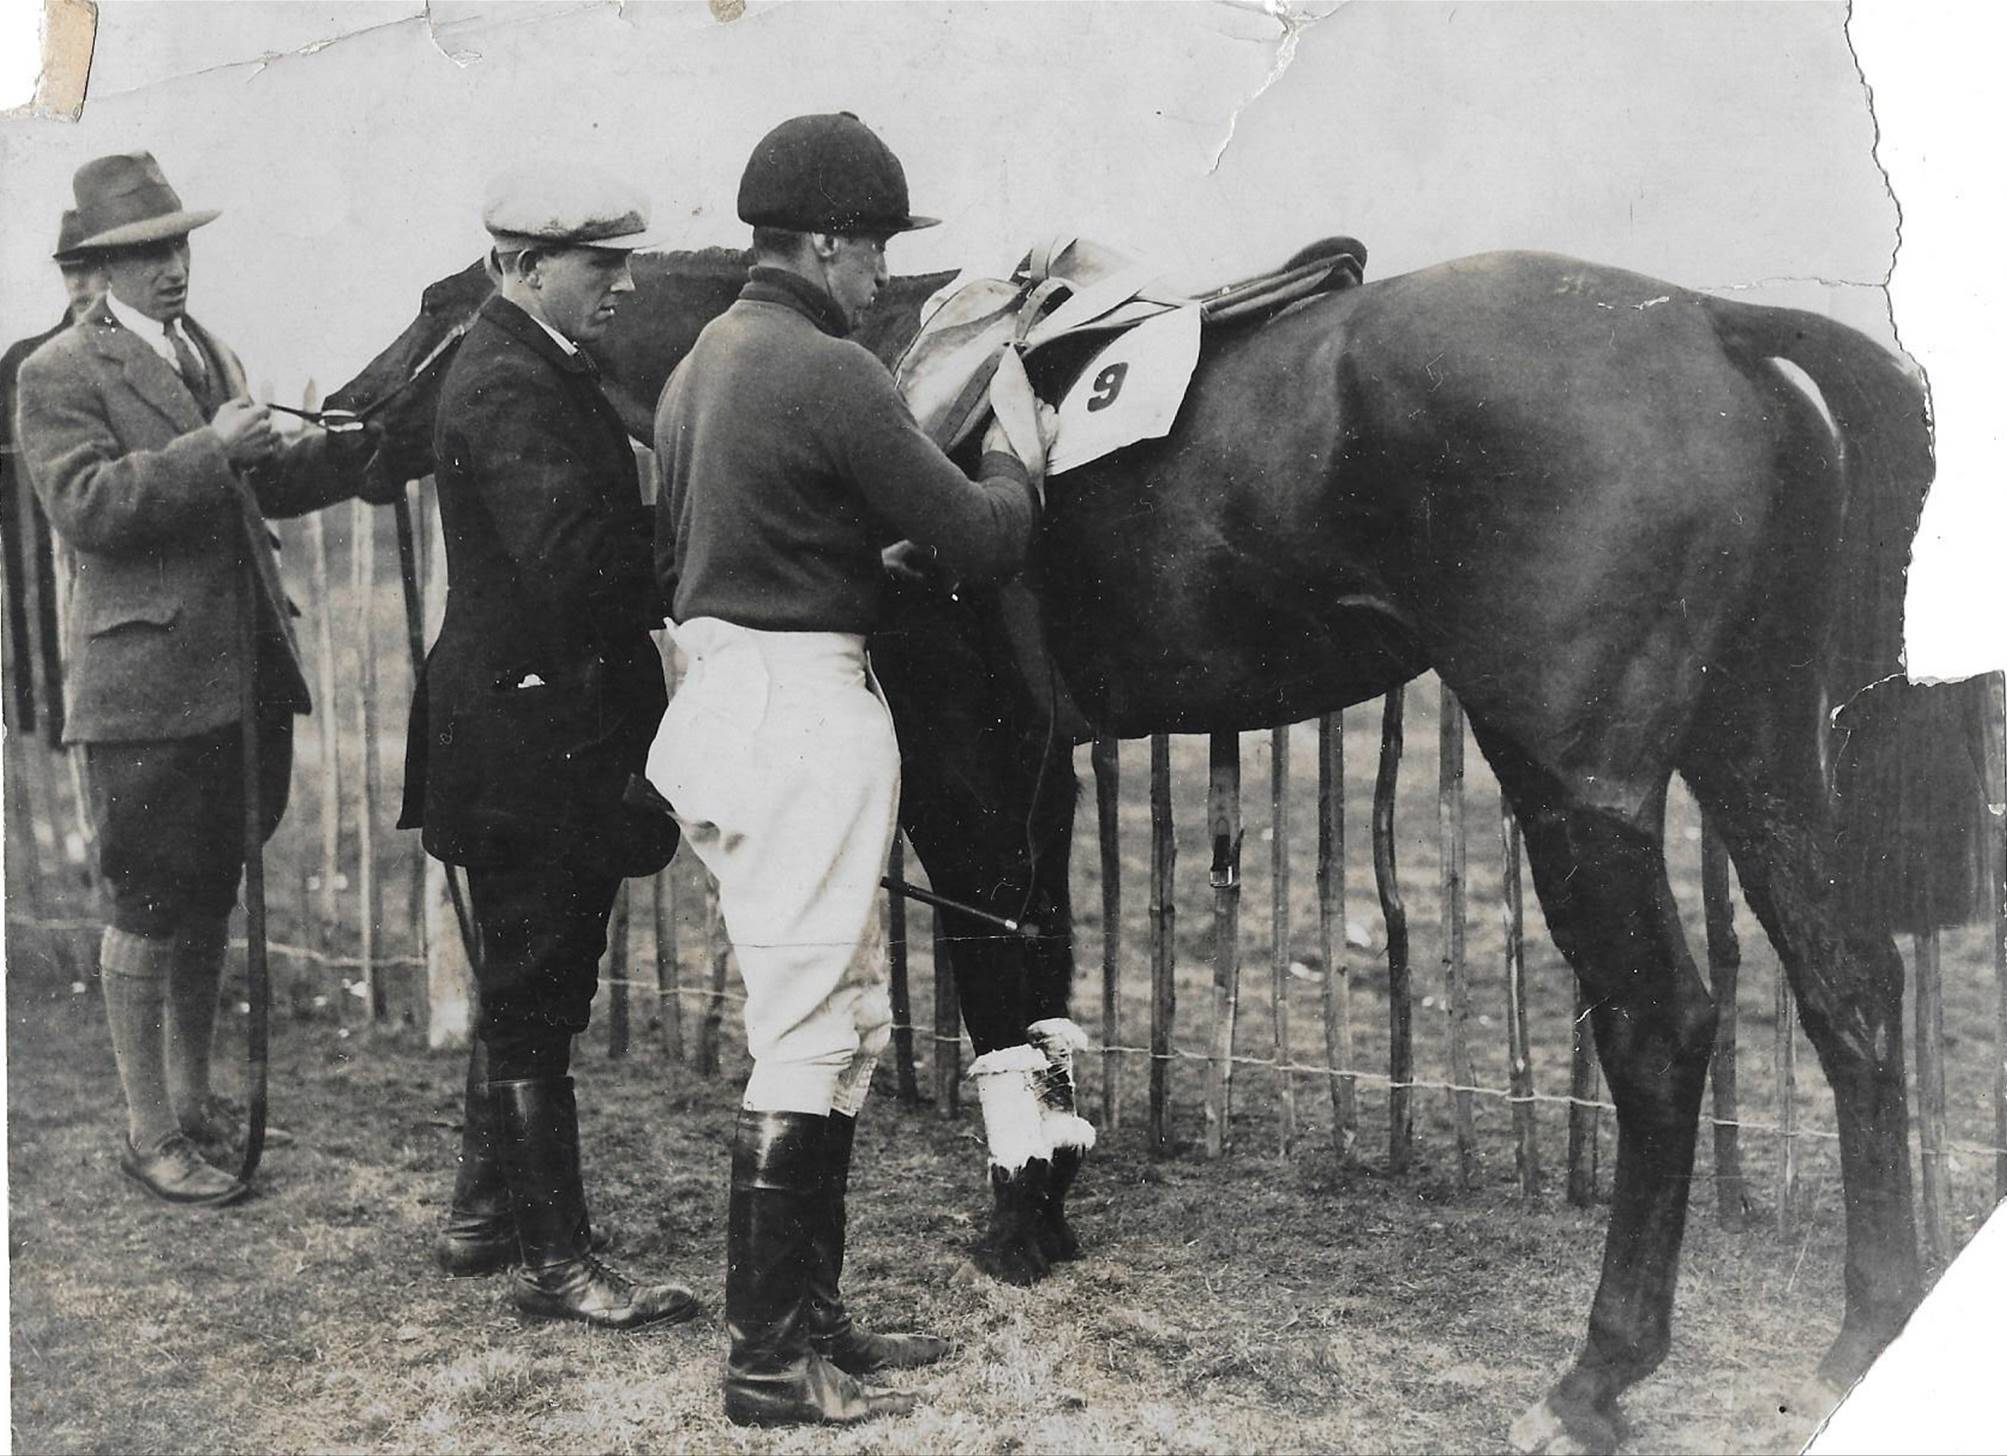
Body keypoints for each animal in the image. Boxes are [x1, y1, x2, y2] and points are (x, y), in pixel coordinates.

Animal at [325, 247, 1099, 1285]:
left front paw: (1021, 1219)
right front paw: (1043, 1206)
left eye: (427, 304)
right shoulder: (1030, 761)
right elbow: (1038, 962)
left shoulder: (971, 768)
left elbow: (1007, 967)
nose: (341, 416)